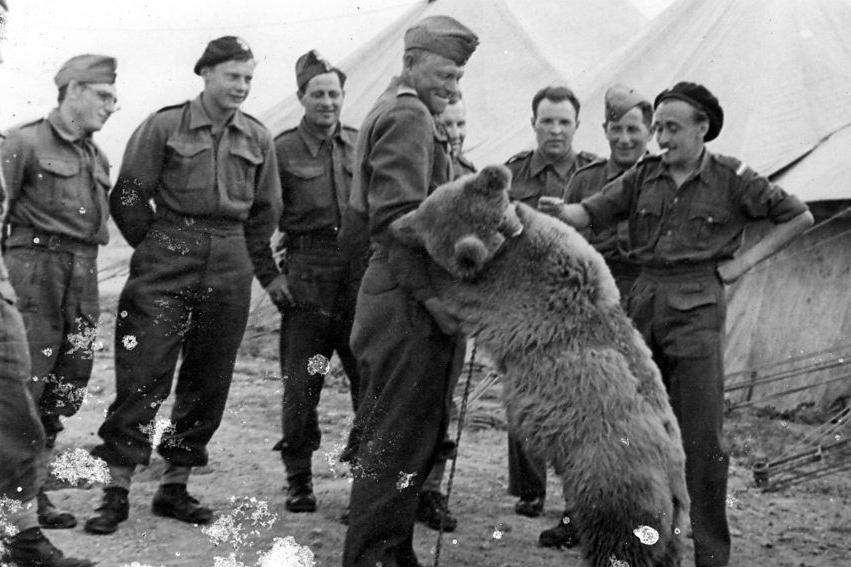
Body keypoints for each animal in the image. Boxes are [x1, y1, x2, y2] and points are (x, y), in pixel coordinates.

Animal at [392, 164, 692, 567]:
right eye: (429, 200)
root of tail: (675, 484)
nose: (395, 225)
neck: (508, 241)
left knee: (617, 538)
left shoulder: (504, 293)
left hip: (615, 479)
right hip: (668, 520)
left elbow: (455, 290)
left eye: (421, 216)